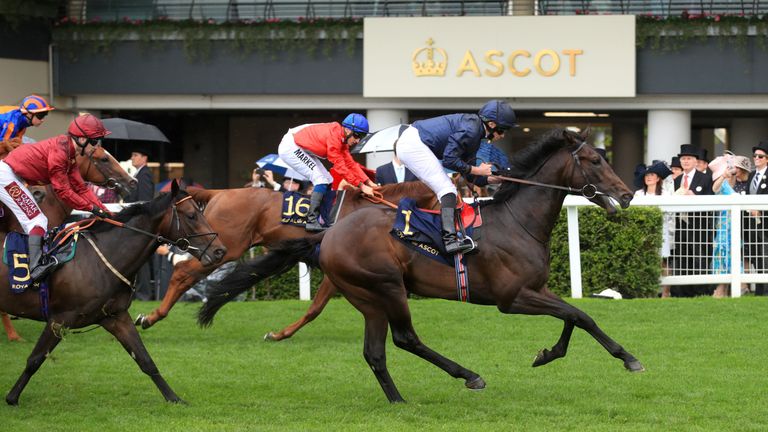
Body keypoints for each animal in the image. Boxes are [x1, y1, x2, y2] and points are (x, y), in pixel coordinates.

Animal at [3, 181, 226, 404]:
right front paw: (12, 397)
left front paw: (174, 398)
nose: (220, 251)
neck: (98, 260)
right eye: (191, 215)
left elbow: (145, 360)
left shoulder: (115, 316)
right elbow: (35, 359)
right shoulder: (60, 319)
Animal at [134, 181, 438, 330]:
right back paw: (151, 317)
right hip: (222, 246)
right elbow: (316, 308)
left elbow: (316, 307)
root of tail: (218, 192)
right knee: (183, 272)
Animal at [201, 127, 644, 402]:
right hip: (386, 287)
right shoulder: (513, 297)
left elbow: (573, 316)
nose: (626, 195)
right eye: (594, 160)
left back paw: (398, 399)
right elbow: (580, 315)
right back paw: (468, 376)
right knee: (405, 339)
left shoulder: (536, 289)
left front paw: (547, 354)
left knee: (375, 352)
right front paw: (628, 357)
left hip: (367, 298)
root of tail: (328, 234)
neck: (518, 221)